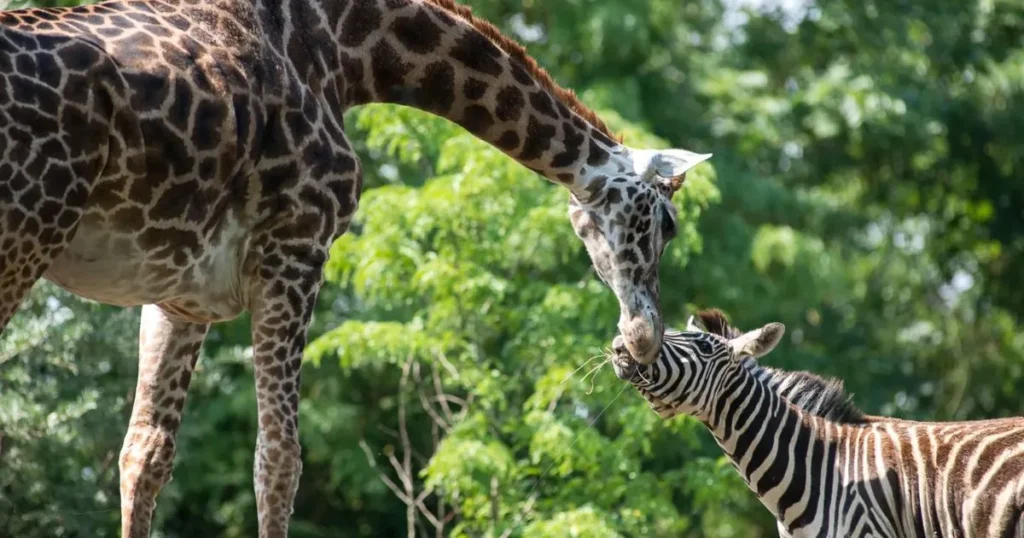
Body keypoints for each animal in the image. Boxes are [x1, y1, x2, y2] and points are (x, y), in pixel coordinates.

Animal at [0, 2, 712, 532]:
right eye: (667, 223)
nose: (643, 337)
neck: (348, 50)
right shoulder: (295, 249)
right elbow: (279, 460)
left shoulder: (179, 293)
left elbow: (144, 454)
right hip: (29, 231)